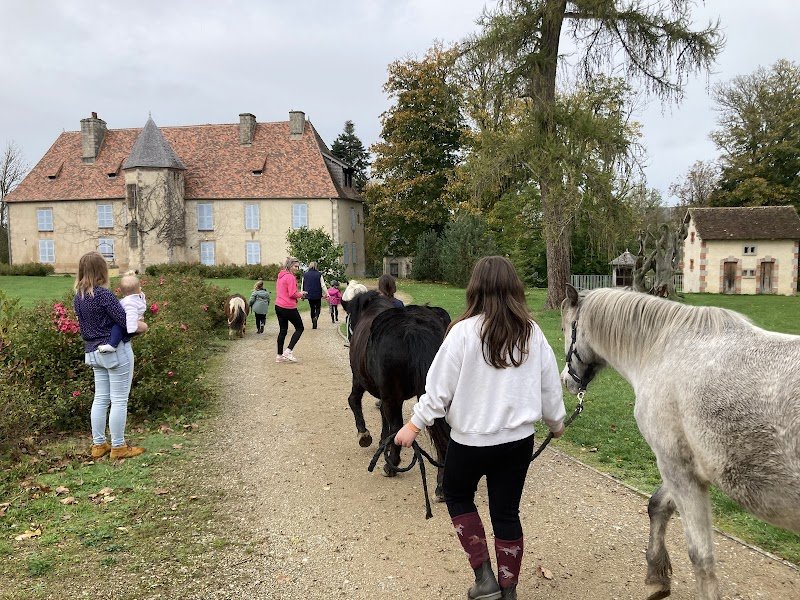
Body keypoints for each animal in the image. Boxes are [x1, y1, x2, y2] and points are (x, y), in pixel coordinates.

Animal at [342, 288, 452, 499]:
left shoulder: (361, 380)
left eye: (349, 321)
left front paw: (364, 434)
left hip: (392, 396)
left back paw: (391, 465)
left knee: (397, 426)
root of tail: (414, 327)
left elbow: (354, 400)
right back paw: (442, 484)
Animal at [560, 284, 800, 600]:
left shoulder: (675, 465)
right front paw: (657, 577)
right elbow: (657, 506)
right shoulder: (689, 467)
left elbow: (701, 557)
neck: (662, 350)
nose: (566, 380)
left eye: (565, 328)